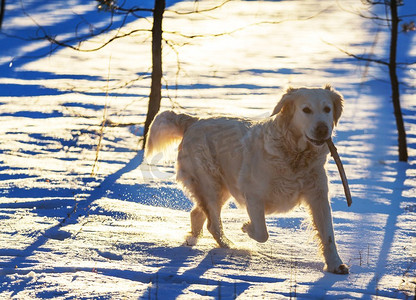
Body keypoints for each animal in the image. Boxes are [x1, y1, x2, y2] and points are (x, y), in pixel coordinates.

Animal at [145, 85, 350, 274]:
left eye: (327, 109)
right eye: (306, 110)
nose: (323, 129)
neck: (295, 154)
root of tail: (195, 121)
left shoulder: (318, 196)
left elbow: (328, 235)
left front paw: (335, 265)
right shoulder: (253, 194)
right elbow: (262, 233)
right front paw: (246, 228)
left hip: (221, 188)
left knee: (197, 214)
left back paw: (196, 240)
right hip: (210, 184)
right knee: (212, 223)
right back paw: (229, 246)